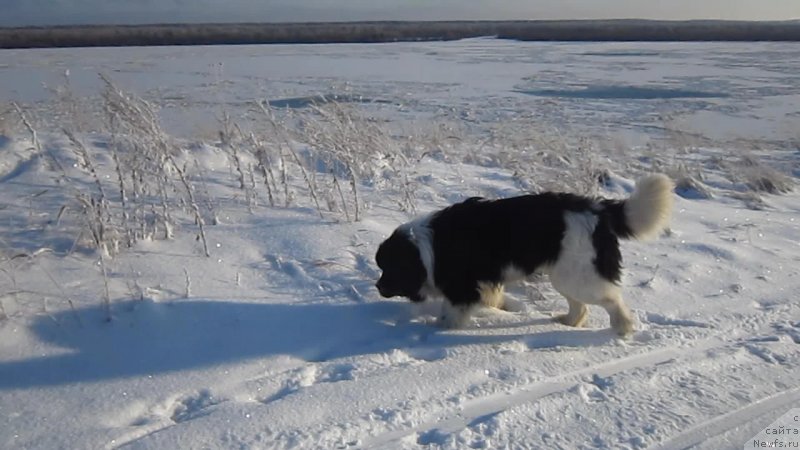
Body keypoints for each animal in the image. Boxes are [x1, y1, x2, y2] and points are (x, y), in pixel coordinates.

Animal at [376, 174, 676, 336]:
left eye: (388, 269)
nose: (378, 287)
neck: (426, 249)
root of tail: (597, 208)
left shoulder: (461, 288)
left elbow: (451, 314)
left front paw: (437, 330)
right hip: (566, 273)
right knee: (581, 305)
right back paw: (568, 322)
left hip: (578, 275)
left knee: (611, 300)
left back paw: (622, 329)